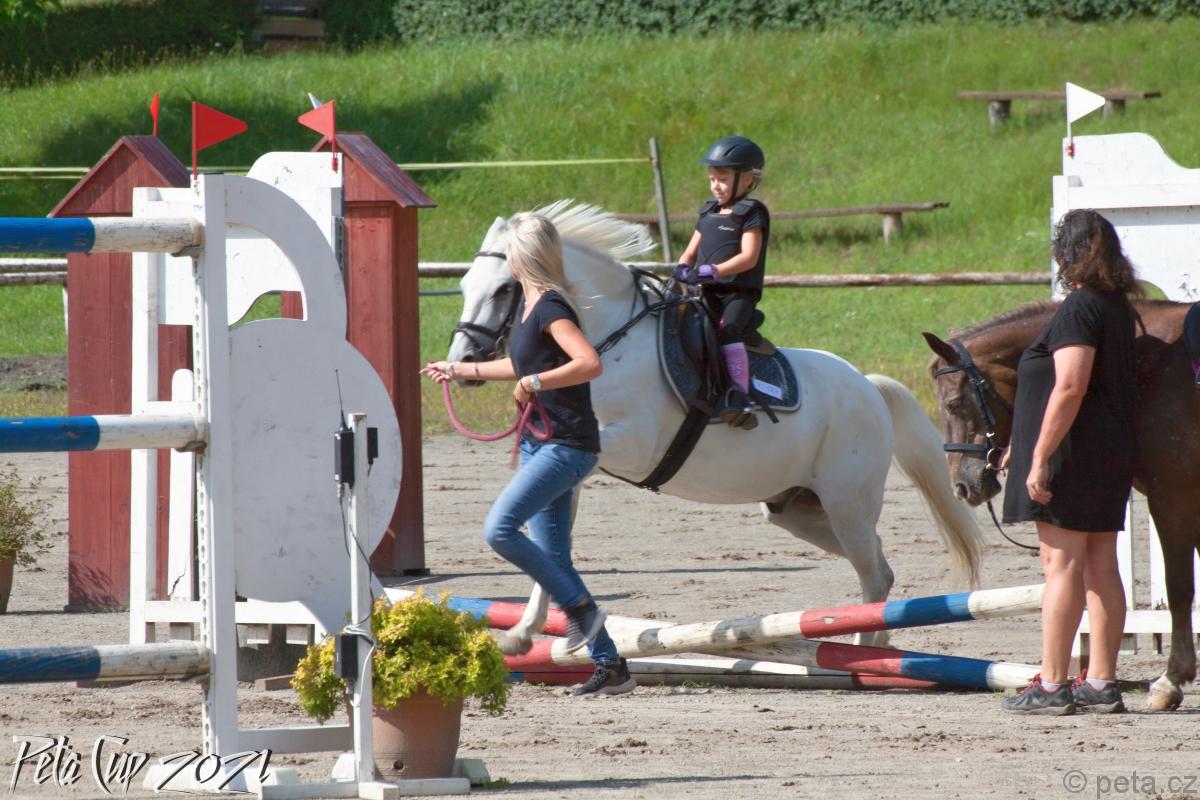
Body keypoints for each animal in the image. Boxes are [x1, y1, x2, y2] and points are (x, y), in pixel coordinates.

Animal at [447, 201, 983, 650]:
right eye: (465, 285)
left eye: (503, 289)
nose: (464, 361)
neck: (608, 340)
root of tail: (869, 388)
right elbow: (551, 542)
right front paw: (525, 630)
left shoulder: (628, 445)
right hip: (799, 511)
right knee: (879, 566)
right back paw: (874, 644)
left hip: (846, 503)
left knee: (872, 573)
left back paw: (864, 654)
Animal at [923, 299, 1200, 710]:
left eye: (954, 403)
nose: (962, 486)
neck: (1152, 364)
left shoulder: (1173, 496)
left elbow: (1180, 587)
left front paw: (1171, 681)